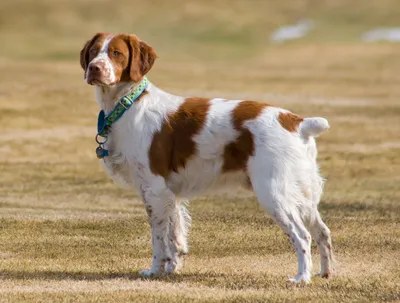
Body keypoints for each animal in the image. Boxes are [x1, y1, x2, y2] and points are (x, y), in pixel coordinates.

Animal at [79, 33, 332, 284]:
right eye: (93, 51)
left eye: (116, 53)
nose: (94, 68)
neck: (128, 104)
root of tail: (297, 122)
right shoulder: (170, 193)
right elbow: (175, 235)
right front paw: (172, 269)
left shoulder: (154, 189)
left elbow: (159, 239)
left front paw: (155, 271)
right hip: (303, 194)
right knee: (322, 231)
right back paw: (325, 273)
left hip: (274, 192)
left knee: (303, 235)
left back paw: (302, 277)